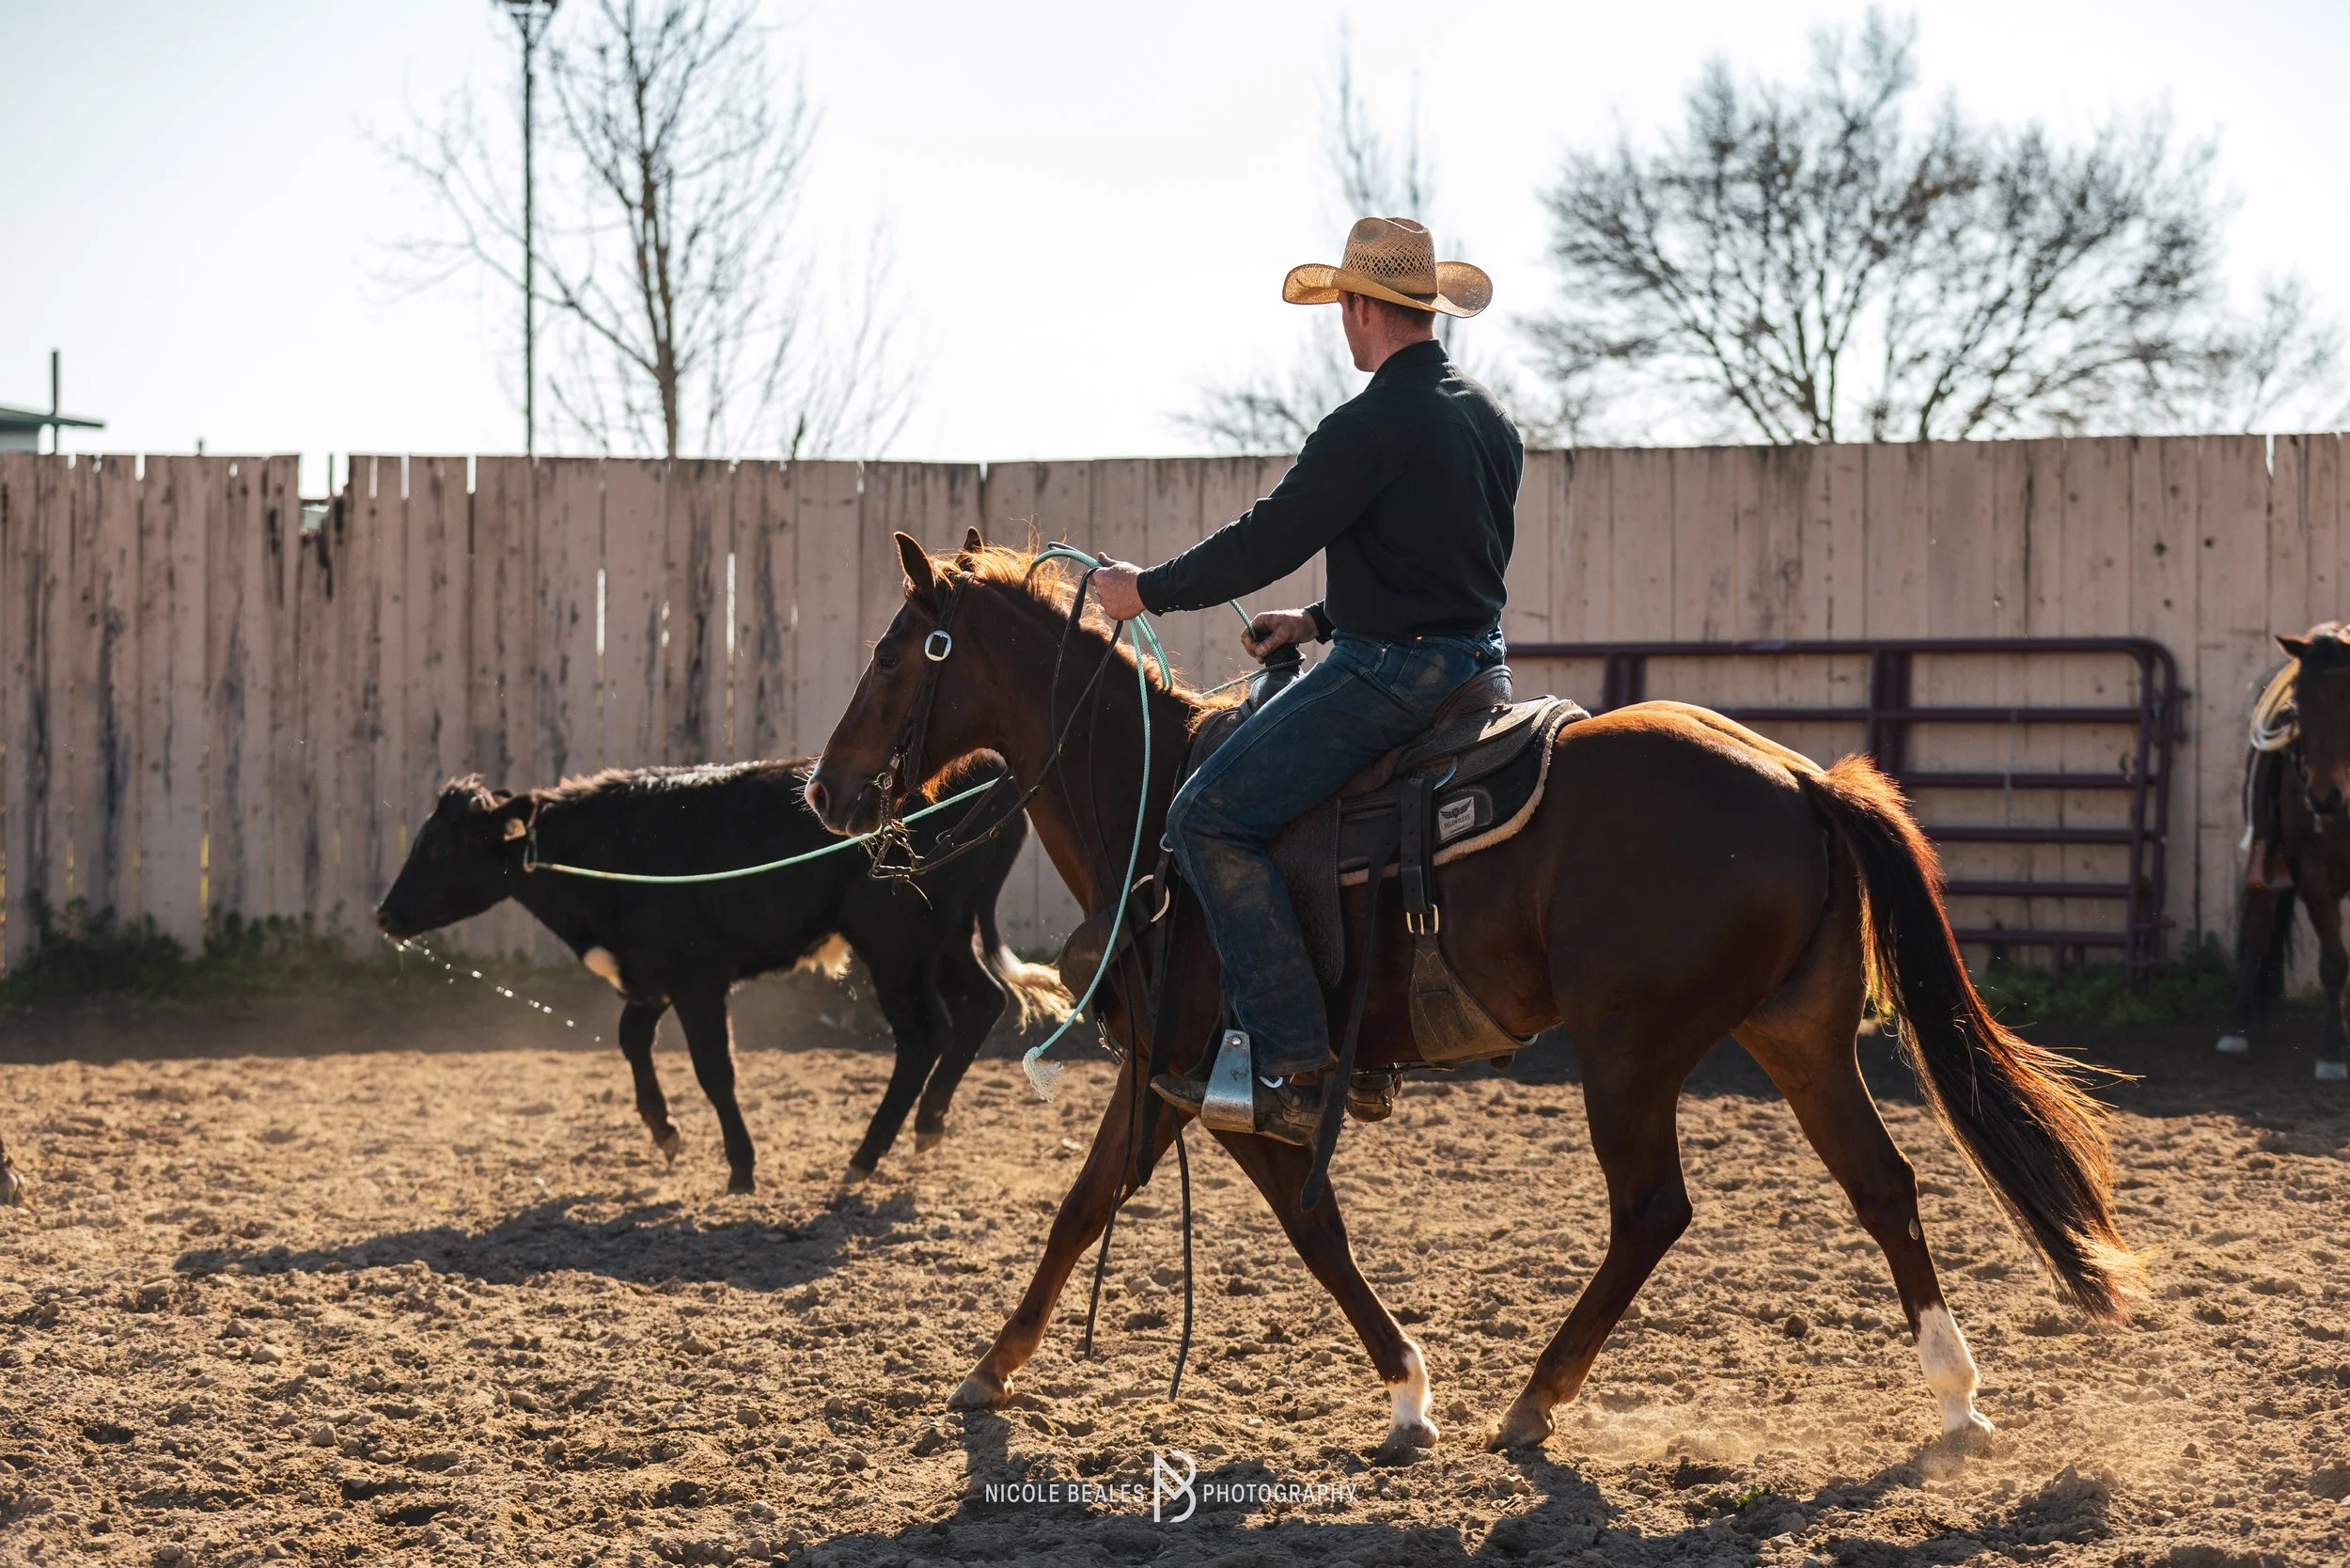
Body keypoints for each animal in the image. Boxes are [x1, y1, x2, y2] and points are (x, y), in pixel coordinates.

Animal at [374, 758, 1067, 1191]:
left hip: (896, 945)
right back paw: (928, 1124)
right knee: (981, 1004)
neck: (612, 850)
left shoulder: (697, 979)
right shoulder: (651, 975)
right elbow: (631, 1039)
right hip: (946, 936)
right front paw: (663, 1132)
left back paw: (865, 1157)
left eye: (444, 846)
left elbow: (714, 1070)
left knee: (926, 1033)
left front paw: (740, 1168)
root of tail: (994, 774)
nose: (385, 914)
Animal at [804, 532, 2137, 1454]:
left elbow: (1234, 1220)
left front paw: (1405, 1394)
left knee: (1652, 1211)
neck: (1150, 797)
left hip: (1629, 1051)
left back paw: (1536, 1400)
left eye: (891, 653)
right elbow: (1150, 1209)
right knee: (1882, 1185)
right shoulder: (1191, 1081)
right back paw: (1955, 1401)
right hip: (1797, 1037)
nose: (825, 791)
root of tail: (1801, 779)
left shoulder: (1198, 1071)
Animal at [2216, 625, 2350, 1081]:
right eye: (2297, 707)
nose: (2325, 798)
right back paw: (2235, 1027)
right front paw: (2333, 1051)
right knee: (2257, 933)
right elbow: (2334, 963)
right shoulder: (2313, 876)